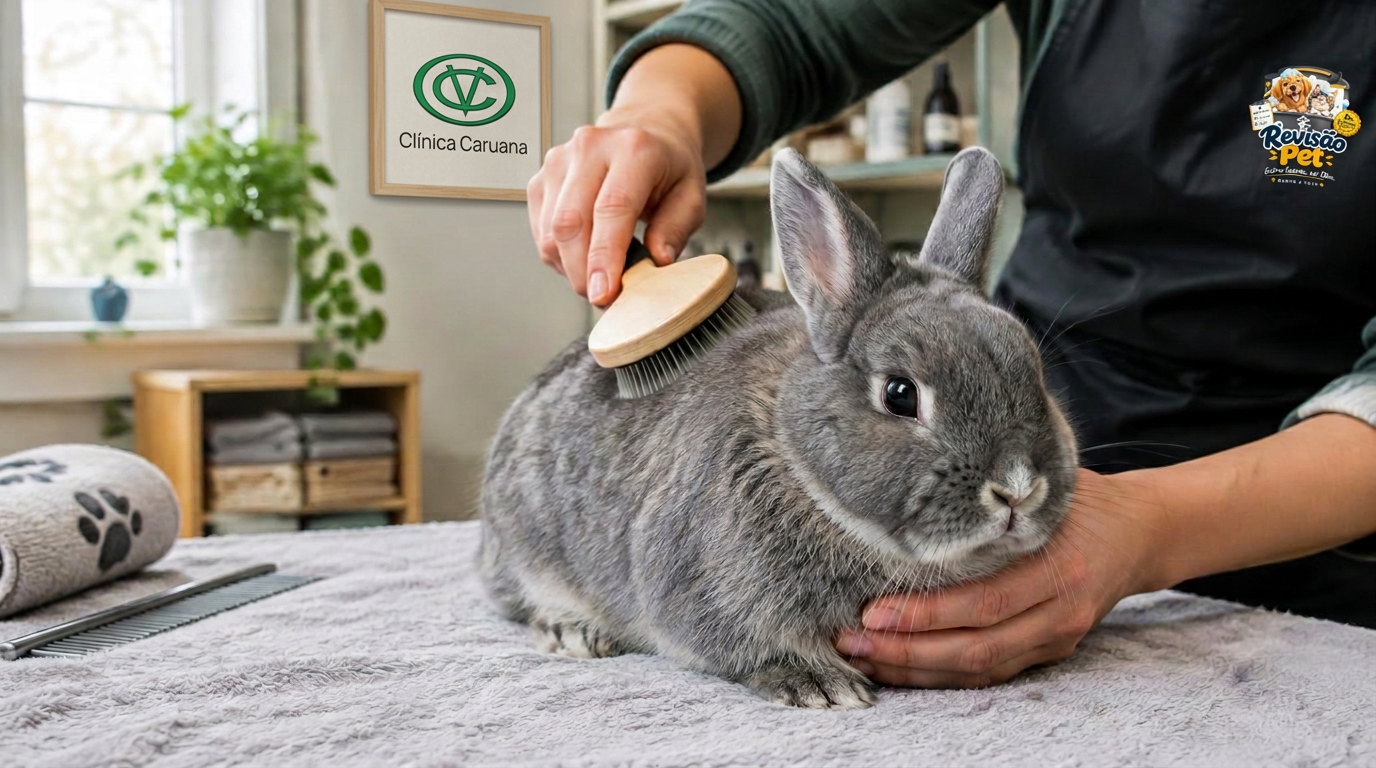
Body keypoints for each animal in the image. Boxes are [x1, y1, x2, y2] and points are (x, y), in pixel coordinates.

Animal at [479, 147, 1078, 710]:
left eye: (1036, 373)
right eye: (900, 394)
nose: (1018, 489)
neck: (797, 463)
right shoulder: (706, 587)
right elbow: (750, 645)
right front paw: (820, 686)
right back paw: (573, 630)